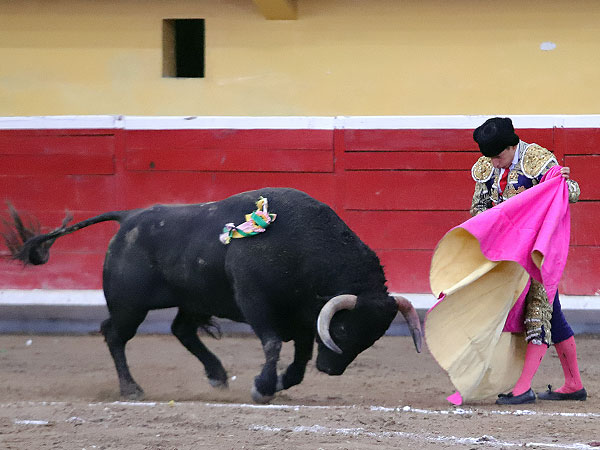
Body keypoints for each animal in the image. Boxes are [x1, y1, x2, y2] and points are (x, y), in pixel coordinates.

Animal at [3, 187, 422, 404]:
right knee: (115, 334)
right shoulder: (257, 304)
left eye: (371, 339)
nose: (331, 370)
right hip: (130, 305)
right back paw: (131, 388)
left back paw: (217, 375)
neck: (305, 247)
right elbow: (273, 343)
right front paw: (262, 388)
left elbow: (301, 354)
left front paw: (281, 383)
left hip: (192, 300)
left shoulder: (304, 316)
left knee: (181, 330)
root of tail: (129, 217)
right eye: (347, 330)